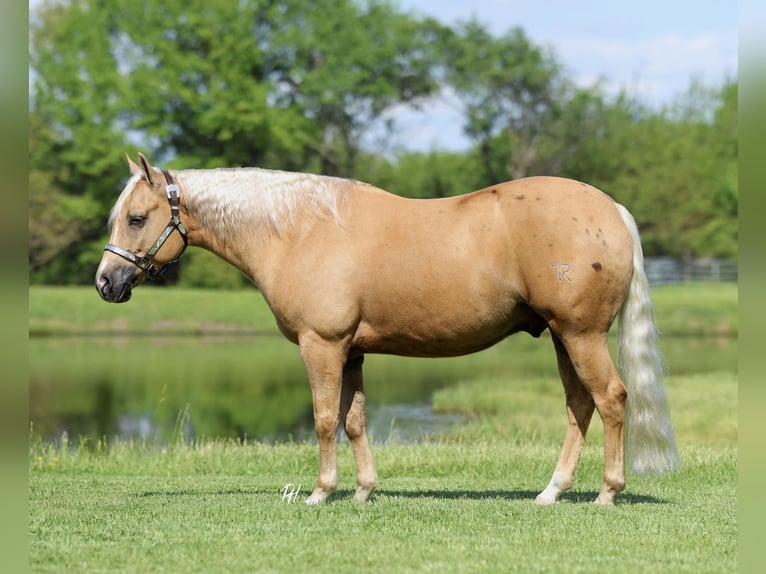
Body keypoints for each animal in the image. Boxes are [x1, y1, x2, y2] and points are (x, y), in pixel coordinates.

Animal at [96, 153, 679, 505]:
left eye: (137, 218)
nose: (106, 282)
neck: (297, 230)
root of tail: (611, 208)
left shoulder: (321, 346)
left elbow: (324, 420)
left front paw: (321, 492)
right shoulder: (351, 351)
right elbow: (354, 420)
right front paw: (363, 491)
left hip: (581, 335)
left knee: (611, 399)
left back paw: (607, 493)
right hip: (562, 336)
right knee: (580, 406)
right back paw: (551, 491)